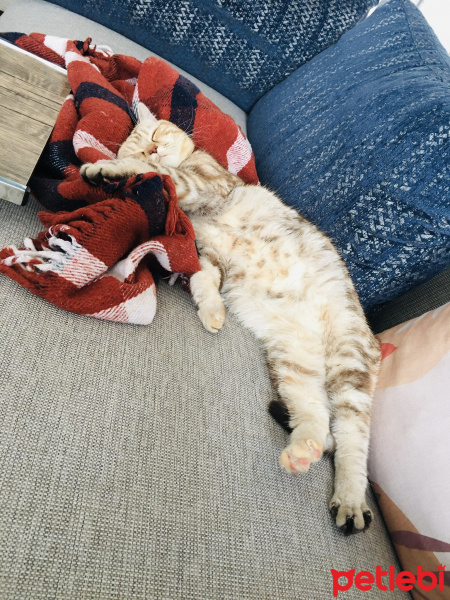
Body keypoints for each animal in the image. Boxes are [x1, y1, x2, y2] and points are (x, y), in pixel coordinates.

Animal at [81, 103, 380, 536]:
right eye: (140, 142)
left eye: (155, 135)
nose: (151, 149)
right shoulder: (206, 254)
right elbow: (204, 279)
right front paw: (212, 310)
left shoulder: (208, 184)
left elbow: (161, 174)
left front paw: (106, 167)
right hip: (293, 362)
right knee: (316, 418)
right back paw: (302, 451)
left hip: (349, 359)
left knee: (352, 439)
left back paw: (351, 500)